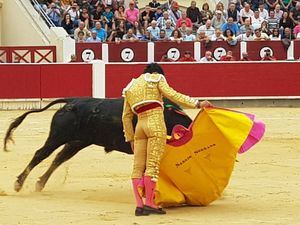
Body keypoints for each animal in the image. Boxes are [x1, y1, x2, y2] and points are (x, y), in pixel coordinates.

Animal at [4, 97, 192, 192]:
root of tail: (73, 101)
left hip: (78, 141)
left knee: (59, 157)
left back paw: (39, 184)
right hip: (58, 135)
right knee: (41, 154)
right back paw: (19, 183)